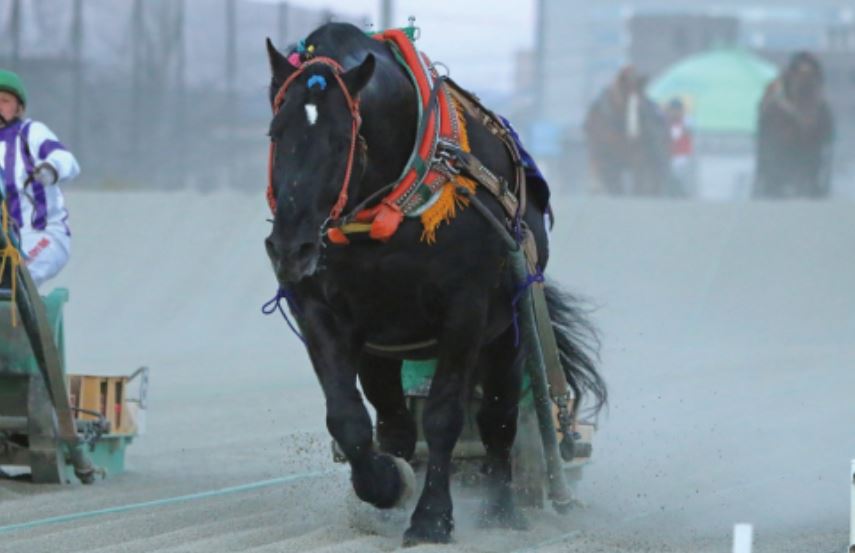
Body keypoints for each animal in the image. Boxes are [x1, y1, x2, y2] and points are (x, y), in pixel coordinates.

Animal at [264, 22, 604, 544]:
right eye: (276, 133)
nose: (289, 247)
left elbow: (446, 417)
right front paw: (386, 486)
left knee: (498, 419)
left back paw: (503, 509)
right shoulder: (319, 306)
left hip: (508, 331)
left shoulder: (466, 308)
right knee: (395, 422)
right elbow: (347, 416)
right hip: (381, 349)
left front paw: (432, 518)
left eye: (342, 140)